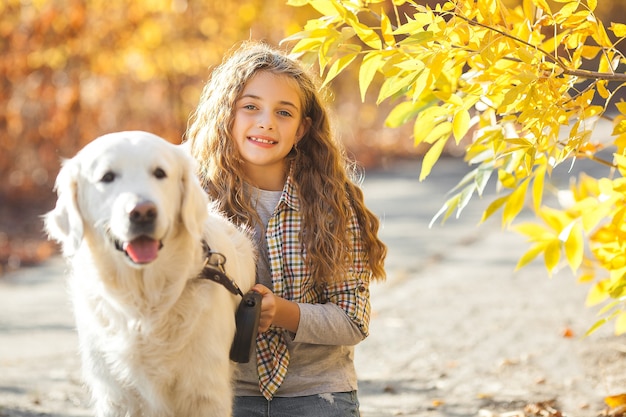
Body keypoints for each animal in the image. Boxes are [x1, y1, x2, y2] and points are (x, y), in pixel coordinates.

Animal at [44, 131, 255, 416]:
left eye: (159, 173)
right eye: (107, 177)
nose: (142, 212)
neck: (146, 303)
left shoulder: (205, 392)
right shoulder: (115, 394)